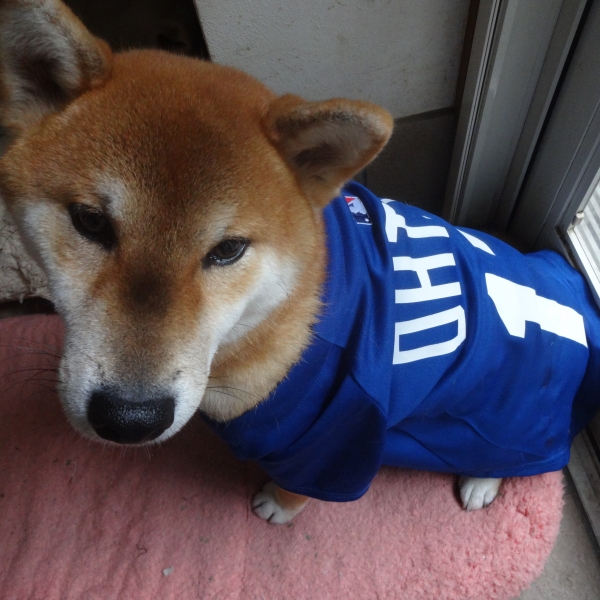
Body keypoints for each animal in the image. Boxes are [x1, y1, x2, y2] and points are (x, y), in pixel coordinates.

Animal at [1, 0, 599, 525]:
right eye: (90, 222)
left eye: (228, 250)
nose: (129, 420)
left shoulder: (339, 430)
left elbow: (304, 485)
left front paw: (278, 505)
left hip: (507, 418)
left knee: (529, 457)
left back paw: (483, 480)